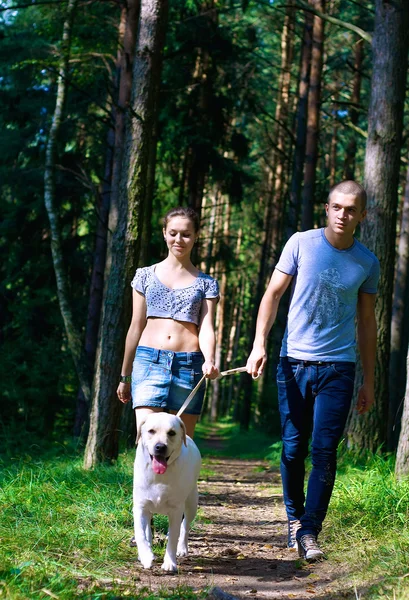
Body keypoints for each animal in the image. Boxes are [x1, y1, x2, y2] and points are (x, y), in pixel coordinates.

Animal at [132, 412, 201, 572]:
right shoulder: (140, 506)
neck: (159, 476)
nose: (160, 447)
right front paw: (146, 556)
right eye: (151, 431)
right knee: (148, 528)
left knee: (185, 526)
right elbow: (140, 533)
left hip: (191, 503)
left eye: (171, 433)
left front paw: (170, 563)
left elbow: (174, 537)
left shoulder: (176, 510)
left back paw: (182, 548)